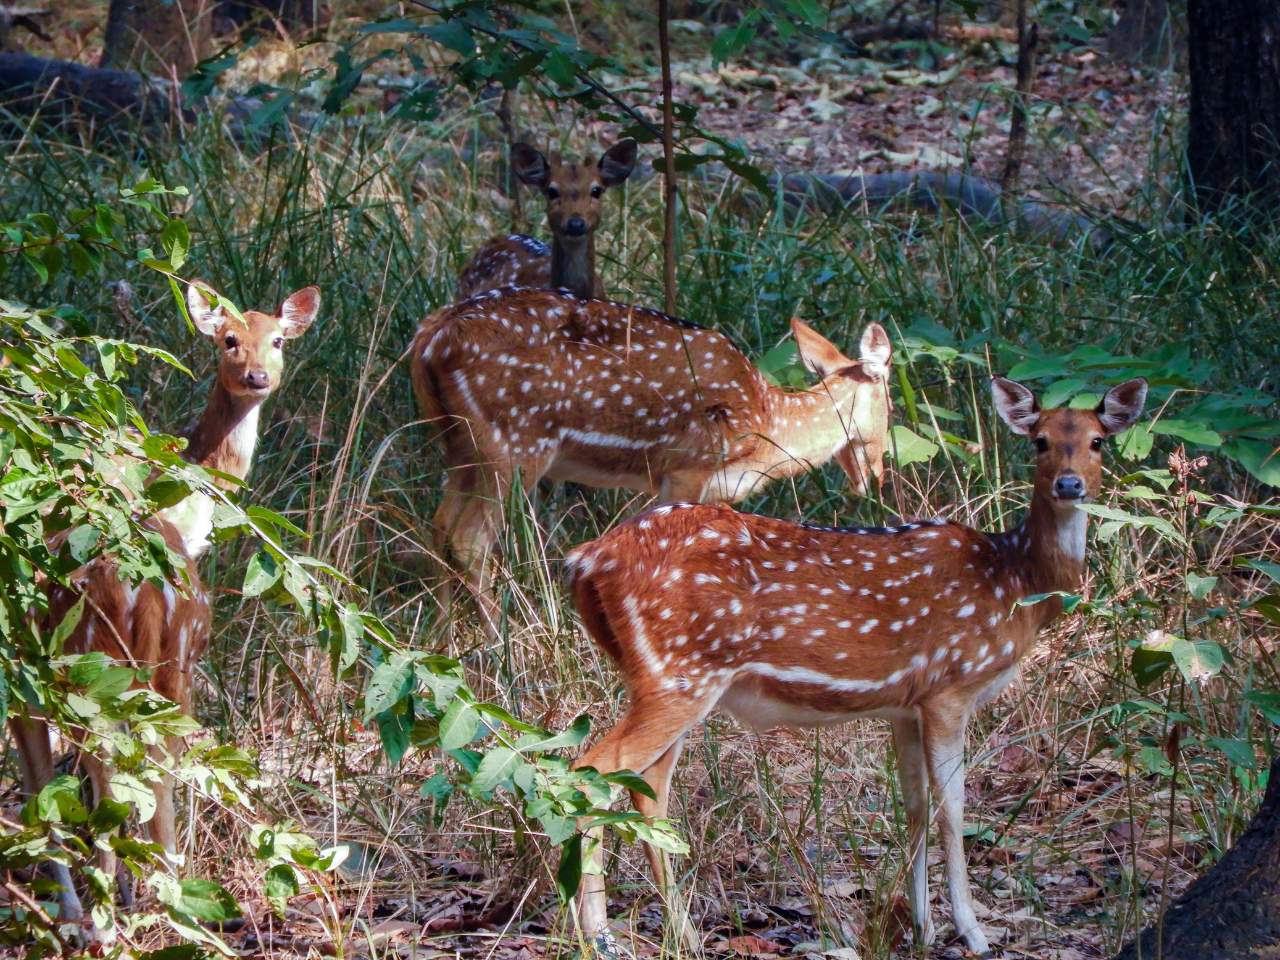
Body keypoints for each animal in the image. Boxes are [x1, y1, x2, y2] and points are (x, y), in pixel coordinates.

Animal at [10, 281, 319, 928]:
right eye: (227, 338)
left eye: (278, 339)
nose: (256, 376)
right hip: (139, 664)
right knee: (139, 765)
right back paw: (147, 903)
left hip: (109, 667)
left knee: (123, 768)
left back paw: (123, 907)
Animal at [409, 286, 893, 634]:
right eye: (891, 403)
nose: (877, 478)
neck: (767, 426)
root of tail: (431, 337)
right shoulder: (686, 468)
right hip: (513, 443)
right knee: (469, 539)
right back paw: (504, 642)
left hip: (462, 445)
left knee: (439, 525)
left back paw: (443, 639)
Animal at [563, 375, 1148, 956]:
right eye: (1039, 441)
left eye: (1098, 441)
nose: (1070, 485)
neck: (1015, 582)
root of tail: (583, 559)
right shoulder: (950, 687)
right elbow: (953, 810)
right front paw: (973, 932)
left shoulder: (906, 707)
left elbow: (914, 806)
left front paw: (921, 927)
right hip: (679, 674)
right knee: (591, 772)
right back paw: (599, 935)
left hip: (673, 678)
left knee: (647, 790)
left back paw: (678, 932)